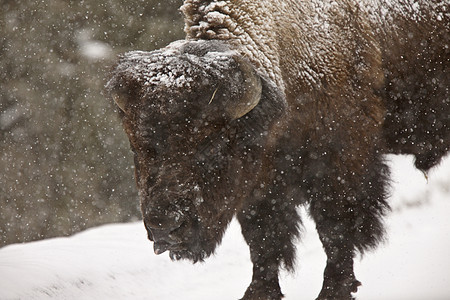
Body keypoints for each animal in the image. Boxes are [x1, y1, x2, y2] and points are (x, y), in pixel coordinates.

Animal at [106, 1, 450, 298]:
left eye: (212, 146)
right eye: (138, 146)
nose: (165, 226)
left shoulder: (340, 167)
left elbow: (336, 233)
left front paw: (334, 290)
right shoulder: (258, 188)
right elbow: (263, 243)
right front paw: (259, 292)